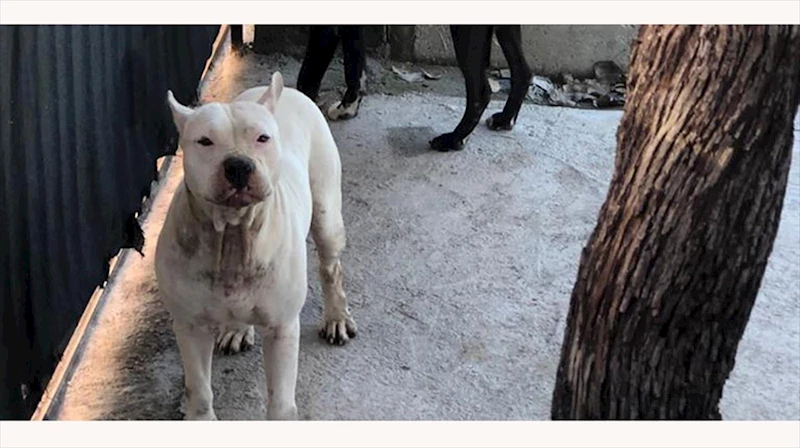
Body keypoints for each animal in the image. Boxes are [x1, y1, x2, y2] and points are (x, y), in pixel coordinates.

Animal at [155, 72, 356, 420]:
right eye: (204, 141)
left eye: (263, 138)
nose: (238, 165)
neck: (233, 234)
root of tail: (286, 91)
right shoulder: (190, 326)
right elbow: (200, 390)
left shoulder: (281, 329)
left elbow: (280, 402)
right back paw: (238, 328)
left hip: (327, 215)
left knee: (331, 268)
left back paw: (336, 317)